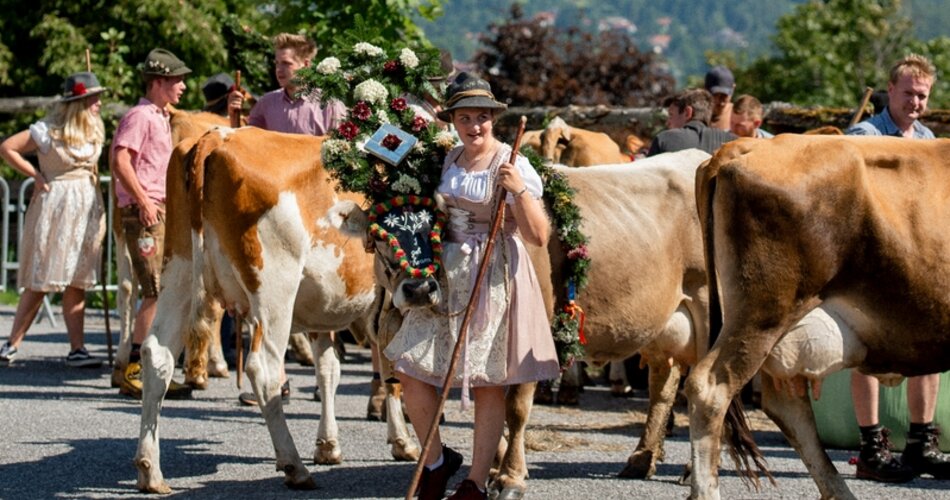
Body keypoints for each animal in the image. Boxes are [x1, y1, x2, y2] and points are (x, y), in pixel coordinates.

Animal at [132, 127, 418, 494]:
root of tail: (217, 137)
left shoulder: (326, 307)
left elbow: (329, 369)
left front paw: (328, 445)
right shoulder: (392, 301)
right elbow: (392, 371)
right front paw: (403, 441)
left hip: (177, 269)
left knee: (157, 356)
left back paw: (150, 472)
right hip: (274, 291)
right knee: (263, 369)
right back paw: (294, 466)